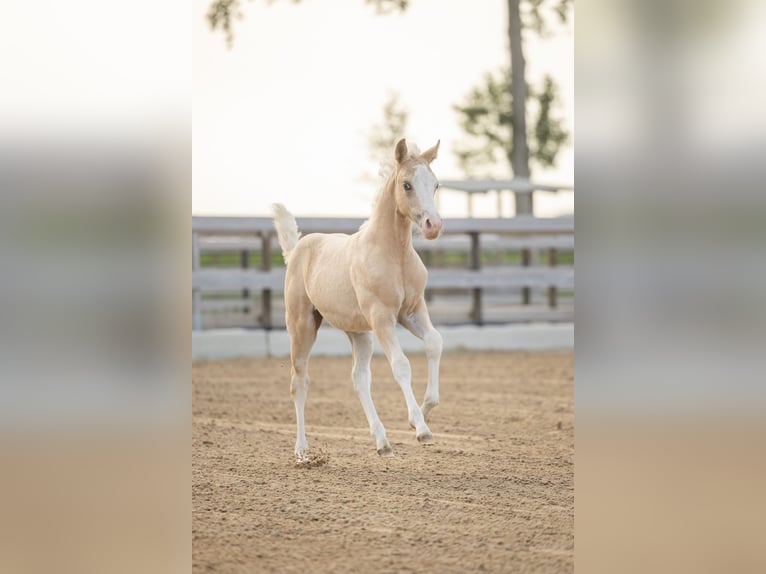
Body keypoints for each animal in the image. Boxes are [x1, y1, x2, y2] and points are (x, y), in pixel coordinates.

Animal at [272, 138, 444, 460]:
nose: (433, 225)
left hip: (359, 333)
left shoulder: (412, 311)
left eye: (436, 184)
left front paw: (427, 409)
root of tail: (296, 248)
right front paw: (421, 427)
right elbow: (401, 365)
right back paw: (302, 450)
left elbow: (434, 342)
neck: (393, 253)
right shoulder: (382, 317)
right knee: (299, 381)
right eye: (406, 185)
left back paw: (382, 442)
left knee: (359, 378)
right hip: (302, 326)